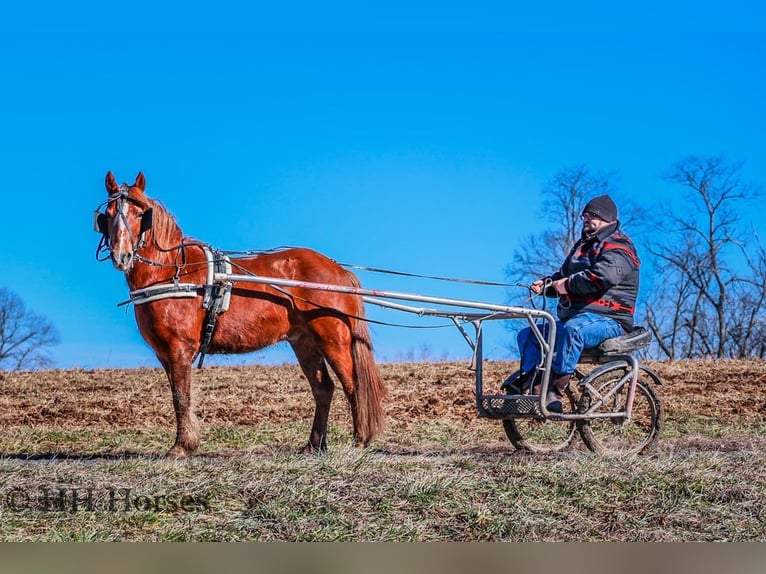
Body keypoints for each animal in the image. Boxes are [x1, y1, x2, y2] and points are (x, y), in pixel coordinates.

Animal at [96, 171, 387, 458]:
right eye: (106, 214)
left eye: (139, 214)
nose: (121, 255)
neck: (172, 271)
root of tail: (339, 271)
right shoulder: (164, 353)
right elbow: (179, 395)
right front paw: (187, 442)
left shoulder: (179, 348)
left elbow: (181, 395)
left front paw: (181, 446)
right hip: (304, 342)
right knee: (323, 388)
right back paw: (314, 445)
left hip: (333, 340)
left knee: (353, 385)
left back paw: (359, 440)